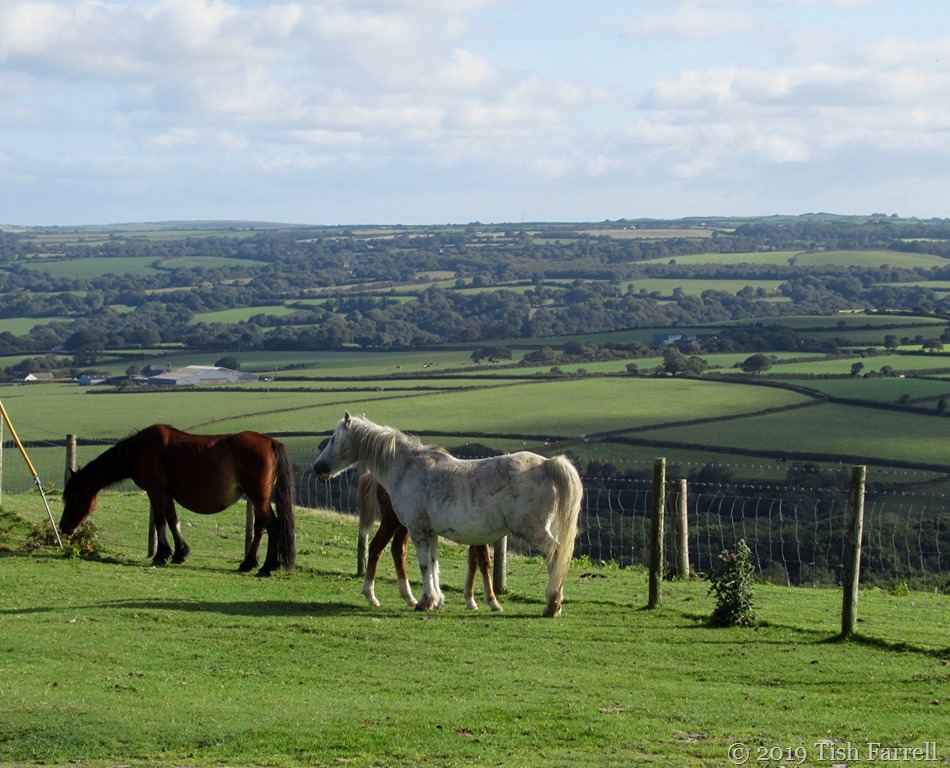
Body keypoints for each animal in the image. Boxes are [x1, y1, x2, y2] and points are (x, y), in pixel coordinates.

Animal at [60, 424, 296, 576]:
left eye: (73, 496)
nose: (64, 527)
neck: (138, 450)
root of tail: (271, 442)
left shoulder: (155, 491)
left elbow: (160, 521)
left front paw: (161, 554)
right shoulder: (167, 493)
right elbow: (173, 520)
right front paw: (180, 553)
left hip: (258, 497)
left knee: (273, 526)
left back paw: (267, 567)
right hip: (257, 499)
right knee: (260, 528)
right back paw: (248, 563)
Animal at [357, 471, 502, 611]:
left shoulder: (476, 533)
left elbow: (473, 562)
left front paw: (470, 600)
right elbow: (484, 562)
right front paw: (493, 602)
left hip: (407, 525)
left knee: (398, 549)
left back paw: (409, 598)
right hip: (392, 520)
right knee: (376, 547)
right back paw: (371, 596)